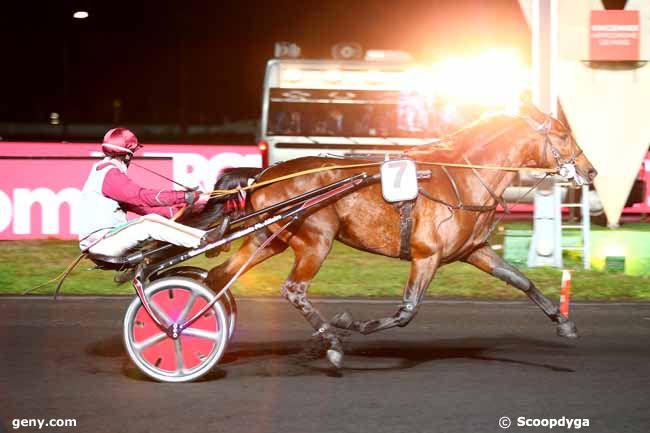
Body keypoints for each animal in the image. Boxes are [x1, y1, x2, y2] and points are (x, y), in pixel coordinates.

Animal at [190, 103, 596, 366]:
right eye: (563, 135)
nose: (590, 171)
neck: (462, 177)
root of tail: (264, 173)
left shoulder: (474, 250)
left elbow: (520, 280)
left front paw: (564, 322)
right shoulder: (426, 255)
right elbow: (407, 311)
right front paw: (348, 324)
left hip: (269, 239)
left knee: (220, 277)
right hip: (315, 240)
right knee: (294, 289)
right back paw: (331, 342)